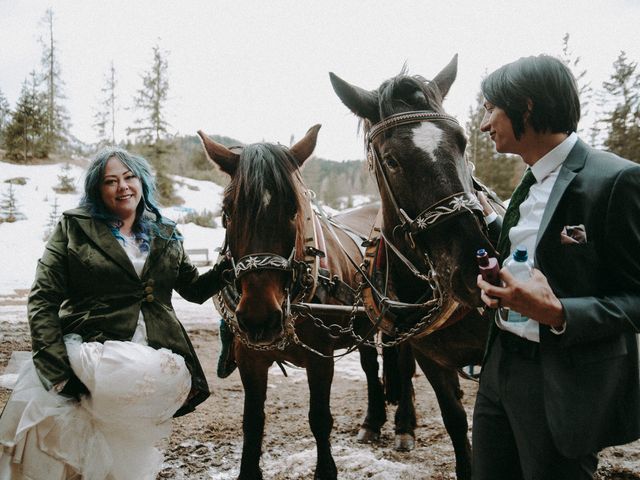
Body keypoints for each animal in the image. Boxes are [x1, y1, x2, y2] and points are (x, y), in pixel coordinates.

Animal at [196, 125, 384, 478]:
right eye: (227, 211)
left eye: (293, 210)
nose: (259, 318)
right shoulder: (250, 359)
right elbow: (252, 421)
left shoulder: (321, 358)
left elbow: (319, 419)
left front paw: (326, 470)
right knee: (370, 363)